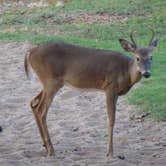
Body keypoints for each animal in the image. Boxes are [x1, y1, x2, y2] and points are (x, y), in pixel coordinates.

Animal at [24, 29, 159, 158]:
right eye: (137, 58)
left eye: (151, 57)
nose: (147, 73)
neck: (126, 72)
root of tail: (31, 51)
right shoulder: (110, 88)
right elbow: (111, 119)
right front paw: (110, 153)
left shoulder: (115, 93)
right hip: (51, 81)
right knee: (41, 111)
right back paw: (51, 150)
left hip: (48, 83)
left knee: (33, 103)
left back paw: (46, 147)